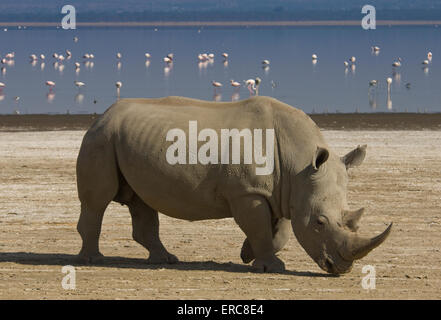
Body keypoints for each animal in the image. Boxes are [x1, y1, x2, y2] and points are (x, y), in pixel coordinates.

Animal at [76, 96, 392, 274]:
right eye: (320, 223)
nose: (341, 268)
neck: (299, 162)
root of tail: (103, 114)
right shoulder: (247, 192)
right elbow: (260, 227)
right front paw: (270, 267)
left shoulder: (286, 191)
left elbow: (279, 231)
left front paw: (247, 254)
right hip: (101, 137)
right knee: (98, 201)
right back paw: (93, 260)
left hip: (127, 139)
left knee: (142, 201)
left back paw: (165, 260)